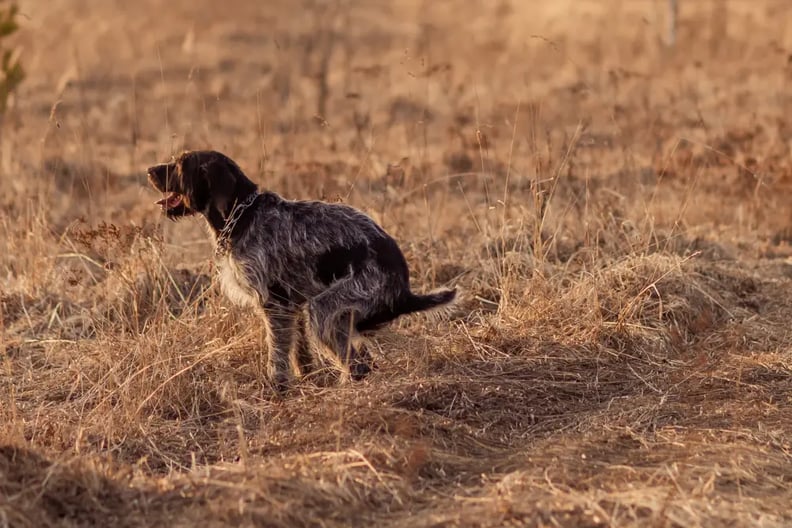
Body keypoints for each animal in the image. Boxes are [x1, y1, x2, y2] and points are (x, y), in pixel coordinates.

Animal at [148, 148, 458, 392]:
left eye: (180, 164)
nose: (149, 170)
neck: (242, 214)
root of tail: (405, 291)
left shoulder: (275, 304)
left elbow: (277, 352)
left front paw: (277, 387)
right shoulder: (292, 304)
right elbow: (299, 351)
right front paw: (306, 378)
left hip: (325, 309)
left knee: (358, 366)